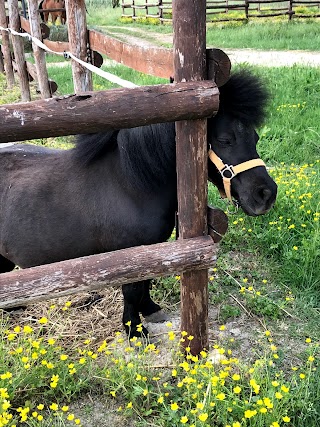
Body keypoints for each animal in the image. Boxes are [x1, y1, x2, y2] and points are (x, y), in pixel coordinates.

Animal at [0, 70, 276, 338]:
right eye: (225, 140)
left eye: (255, 137)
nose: (266, 194)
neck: (130, 185)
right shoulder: (129, 255)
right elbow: (133, 289)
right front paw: (134, 328)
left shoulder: (150, 250)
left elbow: (145, 283)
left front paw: (150, 309)